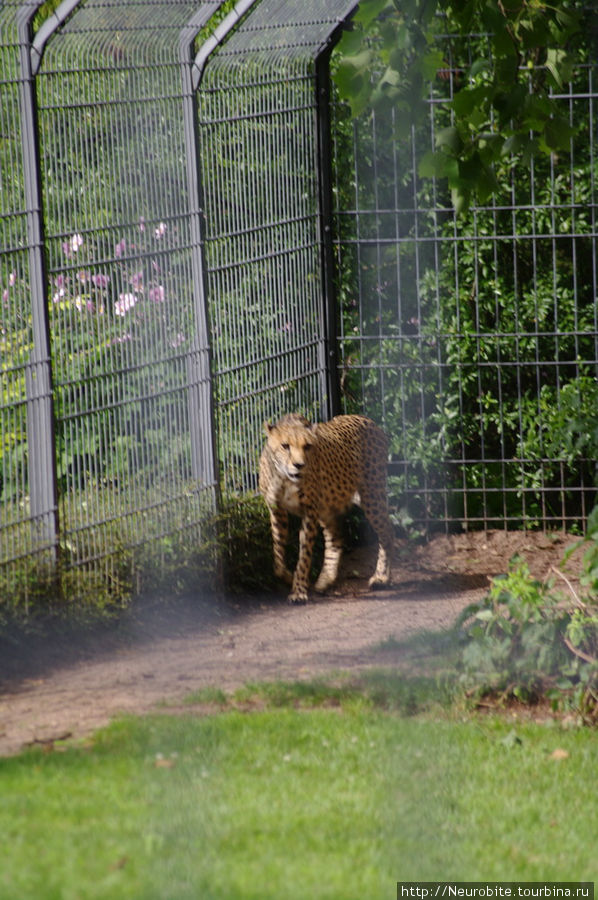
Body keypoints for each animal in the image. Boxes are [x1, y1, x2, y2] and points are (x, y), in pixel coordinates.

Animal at [258, 414, 394, 604]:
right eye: (285, 446)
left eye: (307, 446)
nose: (299, 465)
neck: (285, 478)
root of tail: (368, 420)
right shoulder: (277, 509)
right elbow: (278, 550)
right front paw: (287, 576)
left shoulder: (310, 512)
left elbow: (304, 555)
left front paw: (298, 591)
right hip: (328, 506)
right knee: (336, 538)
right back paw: (325, 580)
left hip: (371, 497)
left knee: (387, 531)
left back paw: (382, 577)